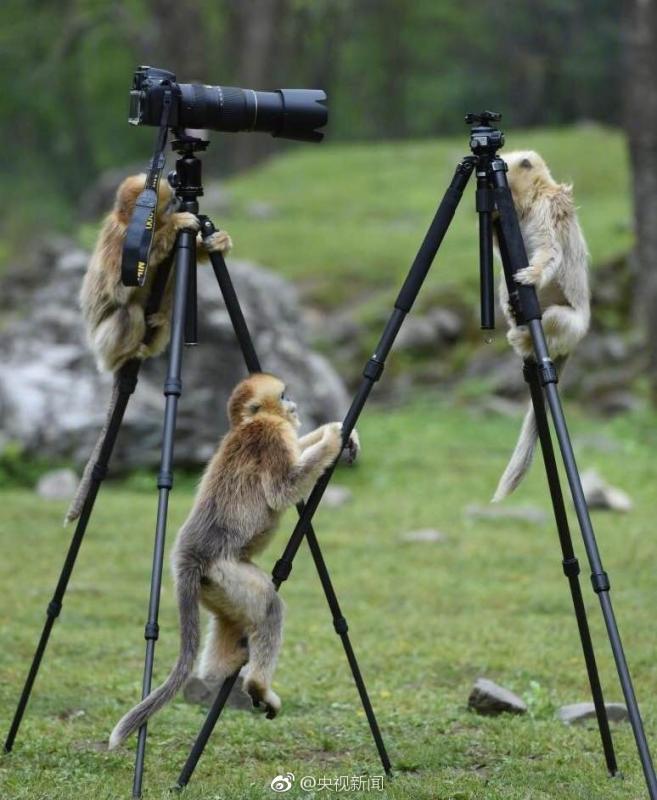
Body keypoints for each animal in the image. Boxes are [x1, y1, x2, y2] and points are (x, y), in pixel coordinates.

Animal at [65, 174, 232, 525]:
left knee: (166, 297)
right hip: (105, 342)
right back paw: (131, 354)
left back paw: (159, 320)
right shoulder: (122, 240)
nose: (179, 200)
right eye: (166, 204)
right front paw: (177, 226)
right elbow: (120, 285)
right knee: (128, 311)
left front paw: (216, 241)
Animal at [108, 372, 360, 750]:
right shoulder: (271, 433)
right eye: (282, 395)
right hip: (225, 572)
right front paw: (332, 437)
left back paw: (226, 668)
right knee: (270, 606)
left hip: (214, 587)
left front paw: (339, 432)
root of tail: (189, 556)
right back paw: (257, 685)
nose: (293, 403)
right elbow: (283, 489)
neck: (248, 423)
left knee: (226, 629)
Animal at [492, 150, 590, 502]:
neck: (532, 200)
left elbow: (550, 250)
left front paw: (530, 276)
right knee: (503, 286)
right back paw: (512, 311)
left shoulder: (549, 209)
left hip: (571, 325)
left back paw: (522, 337)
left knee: (553, 318)